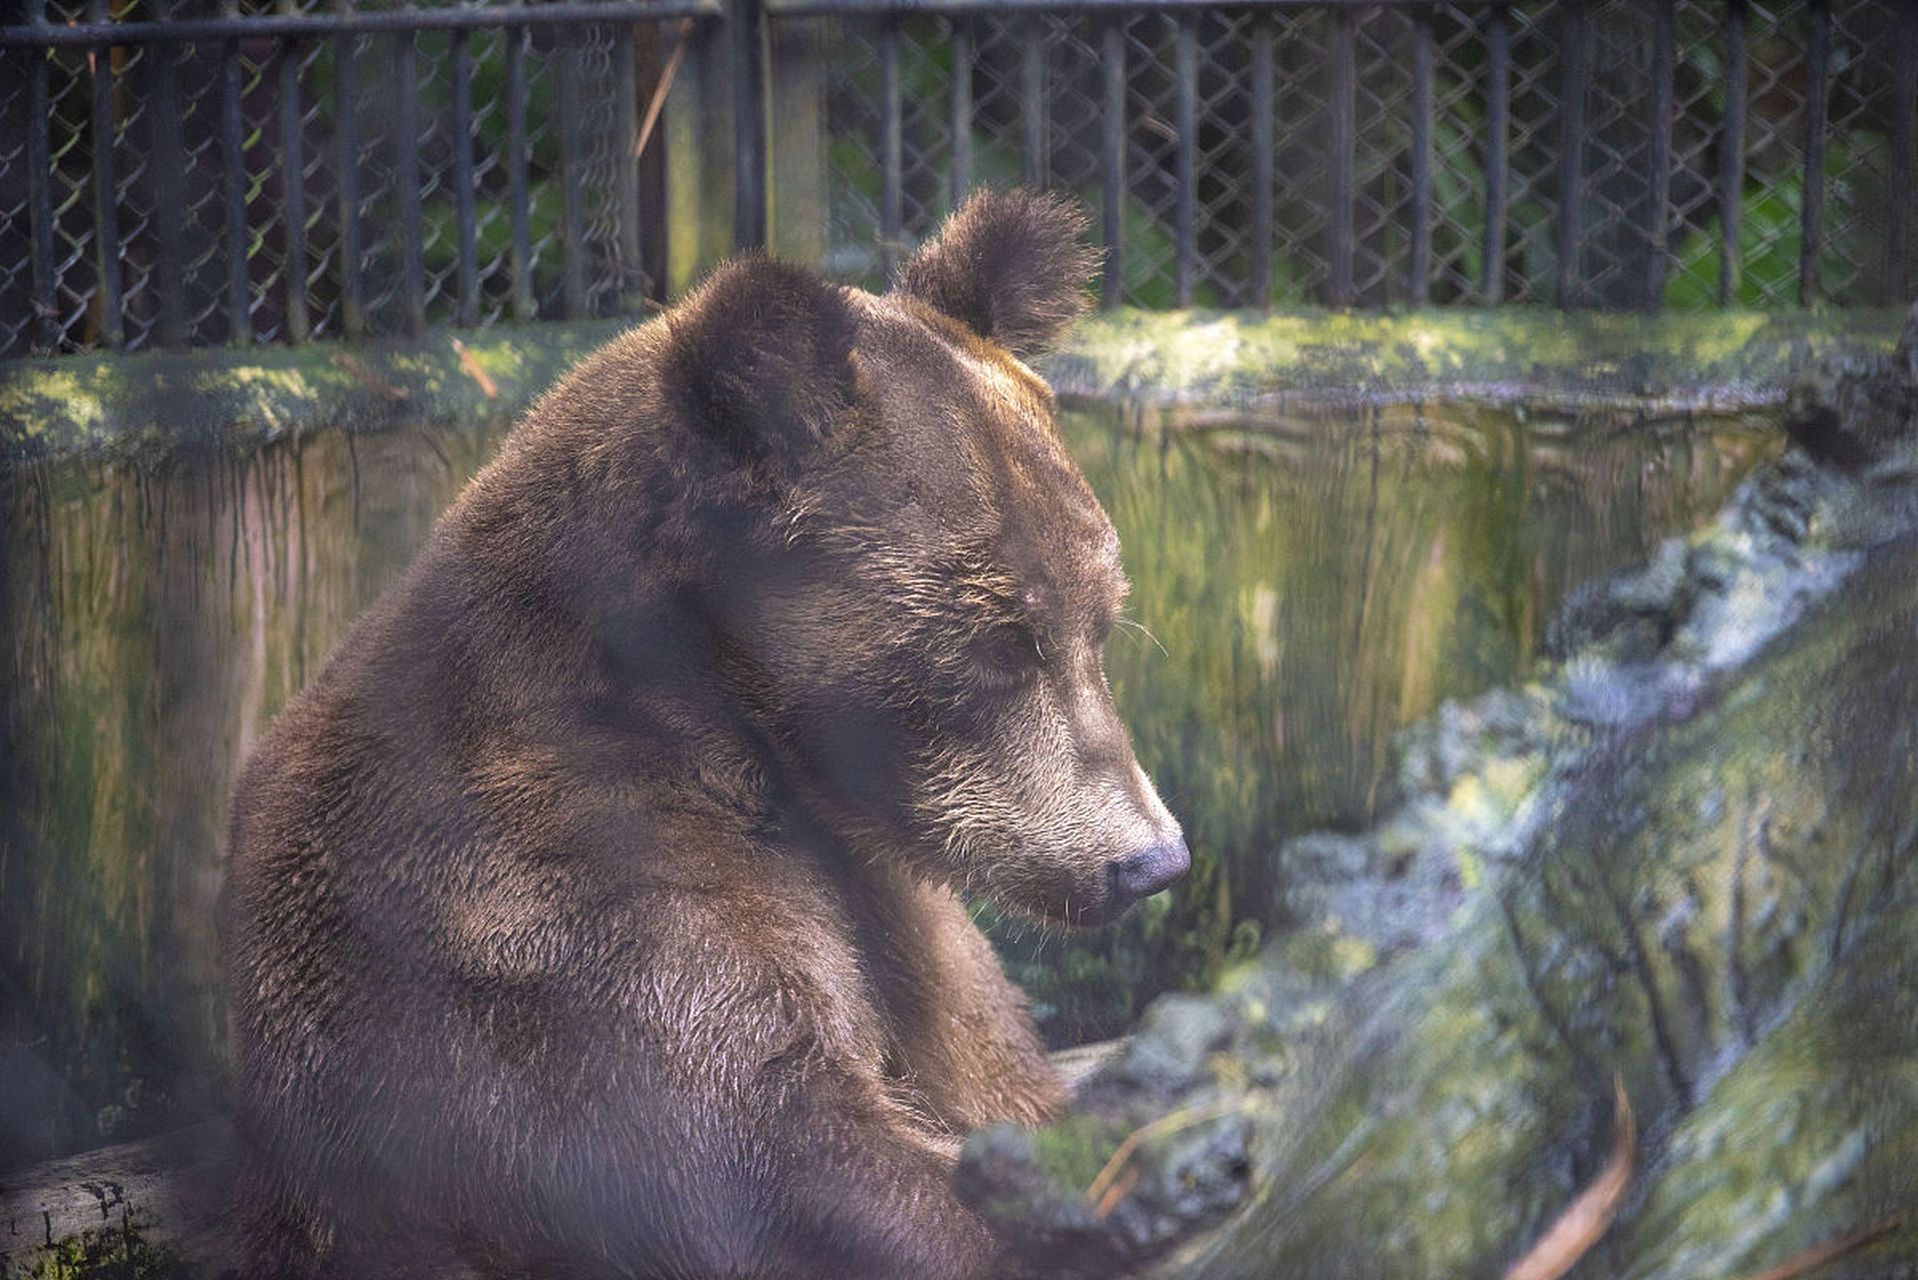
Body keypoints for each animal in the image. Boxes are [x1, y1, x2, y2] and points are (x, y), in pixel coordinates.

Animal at [224, 189, 1181, 1280]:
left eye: (1098, 622)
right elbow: (769, 1143)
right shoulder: (544, 904)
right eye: (997, 645)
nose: (1148, 859)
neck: (730, 729)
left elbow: (982, 1060)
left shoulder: (888, 904)